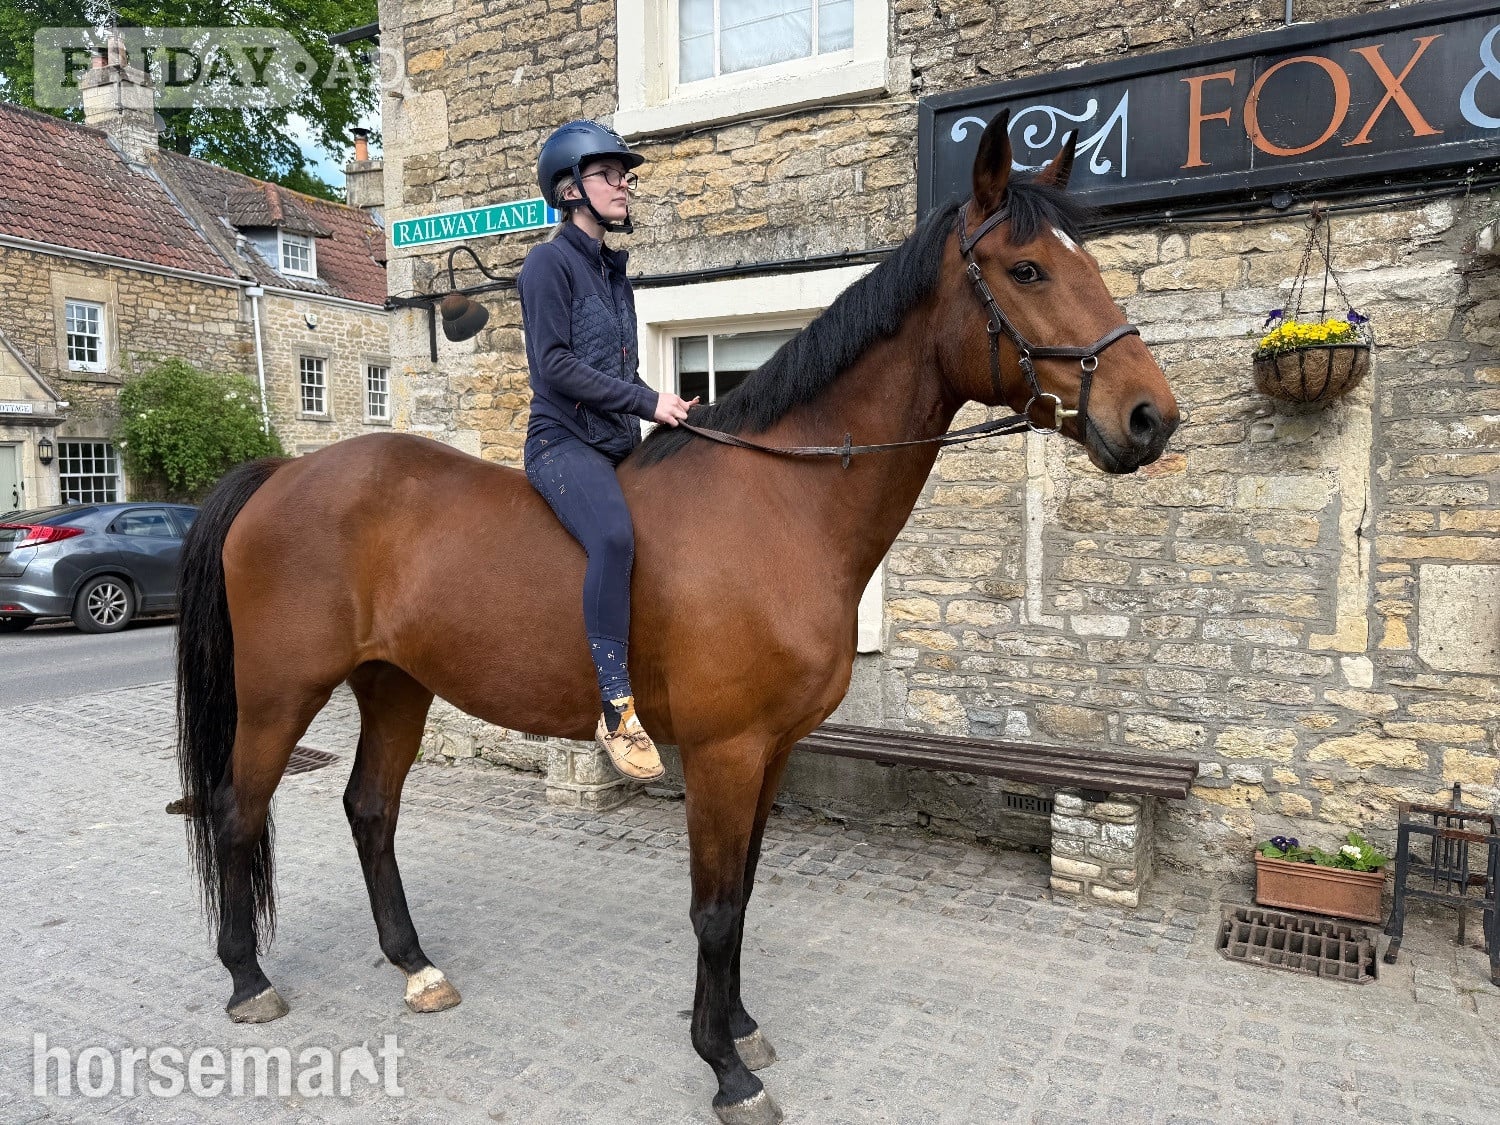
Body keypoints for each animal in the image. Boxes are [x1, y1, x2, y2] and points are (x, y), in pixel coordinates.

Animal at [175, 112, 1178, 1125]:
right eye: (1028, 270)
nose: (1150, 416)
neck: (779, 502)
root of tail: (284, 473)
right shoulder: (725, 751)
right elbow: (715, 907)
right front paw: (726, 1068)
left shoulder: (774, 750)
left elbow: (744, 890)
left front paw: (738, 1027)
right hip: (280, 692)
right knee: (235, 807)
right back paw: (247, 977)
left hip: (394, 687)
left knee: (369, 808)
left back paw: (414, 964)